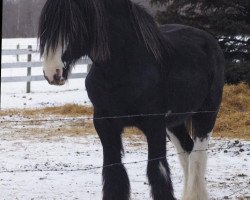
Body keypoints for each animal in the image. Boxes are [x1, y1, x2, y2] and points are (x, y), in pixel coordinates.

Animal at [38, 0, 225, 199]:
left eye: (74, 25)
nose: (52, 72)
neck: (124, 67)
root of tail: (209, 40)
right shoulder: (105, 124)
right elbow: (114, 174)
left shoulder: (154, 125)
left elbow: (158, 172)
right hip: (174, 124)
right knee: (187, 151)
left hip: (206, 114)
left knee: (197, 156)